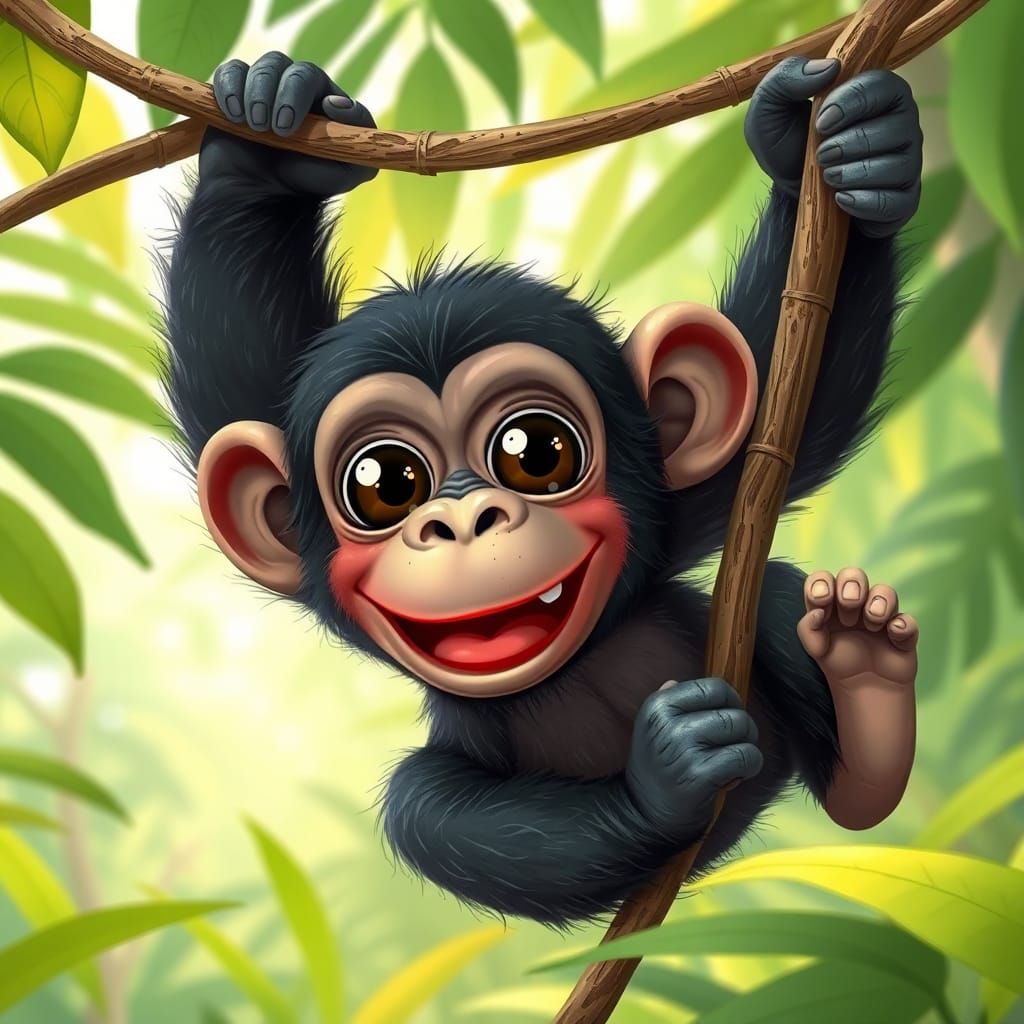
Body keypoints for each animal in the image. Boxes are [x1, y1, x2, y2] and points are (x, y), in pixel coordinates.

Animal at [161, 50, 922, 926]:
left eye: (537, 451)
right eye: (387, 484)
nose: (465, 518)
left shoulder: (683, 505)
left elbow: (786, 387)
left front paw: (840, 149)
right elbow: (241, 383)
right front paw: (266, 132)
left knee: (779, 609)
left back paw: (864, 682)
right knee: (427, 808)